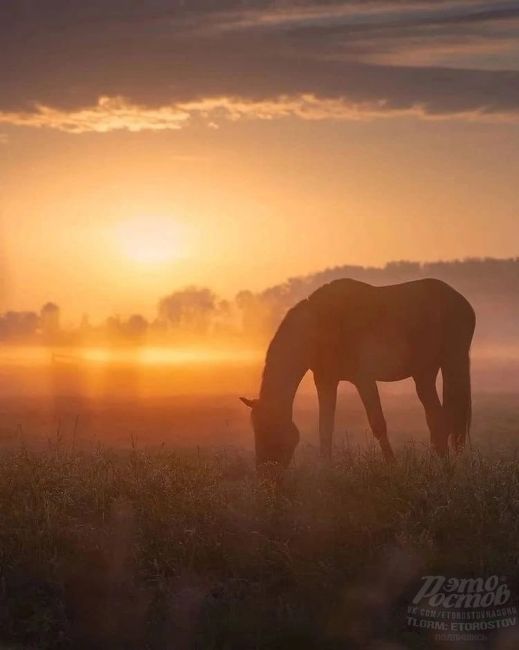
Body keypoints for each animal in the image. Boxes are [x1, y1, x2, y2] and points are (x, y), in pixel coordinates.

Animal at [242, 278, 478, 466]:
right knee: (437, 418)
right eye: (255, 430)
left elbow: (378, 424)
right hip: (424, 373)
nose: (266, 476)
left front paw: (393, 466)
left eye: (270, 430)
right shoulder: (326, 381)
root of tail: (462, 302)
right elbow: (325, 428)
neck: (321, 324)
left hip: (453, 364)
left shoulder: (364, 379)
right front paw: (325, 471)